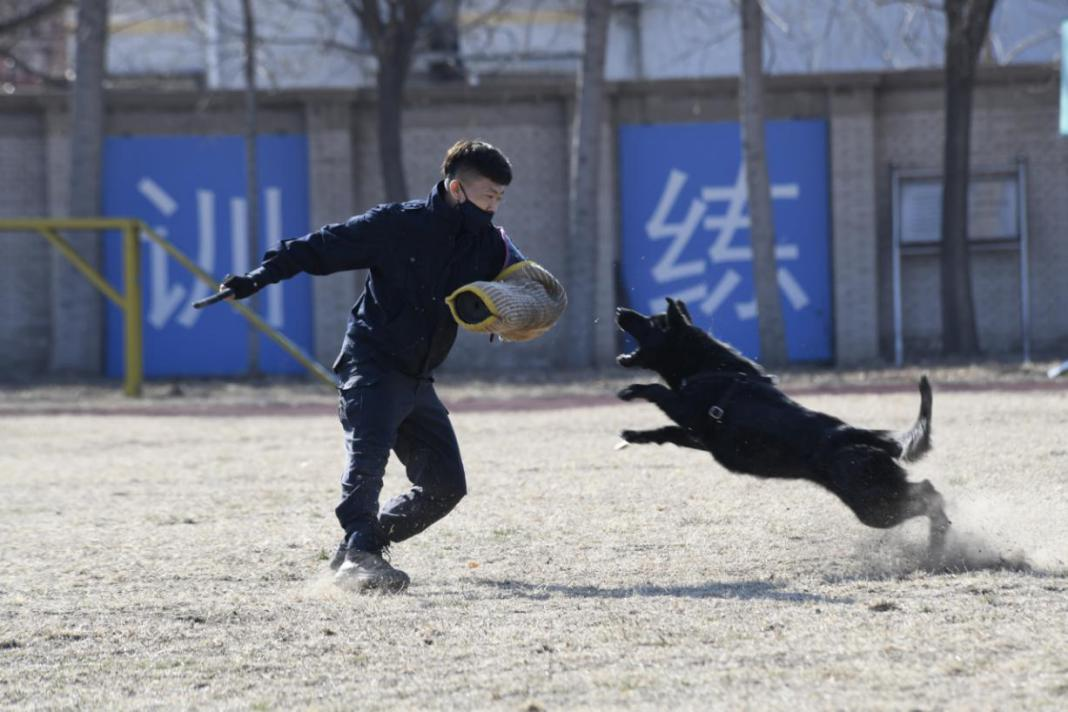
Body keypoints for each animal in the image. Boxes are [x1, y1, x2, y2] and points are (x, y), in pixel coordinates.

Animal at [619, 298, 952, 559]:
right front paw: (632, 435)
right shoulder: (698, 435)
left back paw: (937, 542)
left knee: (928, 493)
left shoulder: (687, 410)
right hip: (878, 498)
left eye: (651, 322)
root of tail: (867, 437)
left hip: (874, 504)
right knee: (926, 490)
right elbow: (665, 432)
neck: (709, 368)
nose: (621, 310)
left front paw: (633, 390)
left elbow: (658, 392)